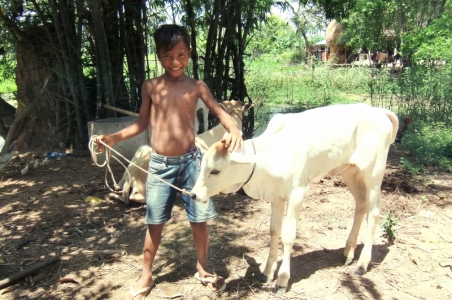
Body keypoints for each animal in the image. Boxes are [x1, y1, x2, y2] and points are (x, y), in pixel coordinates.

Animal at [191, 103, 400, 292]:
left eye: (215, 170)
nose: (193, 194)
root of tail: (378, 111)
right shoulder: (276, 197)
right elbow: (274, 230)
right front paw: (267, 272)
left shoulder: (297, 193)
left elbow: (288, 235)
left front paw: (282, 279)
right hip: (351, 172)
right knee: (361, 205)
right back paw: (348, 252)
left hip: (373, 174)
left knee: (374, 212)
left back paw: (362, 263)